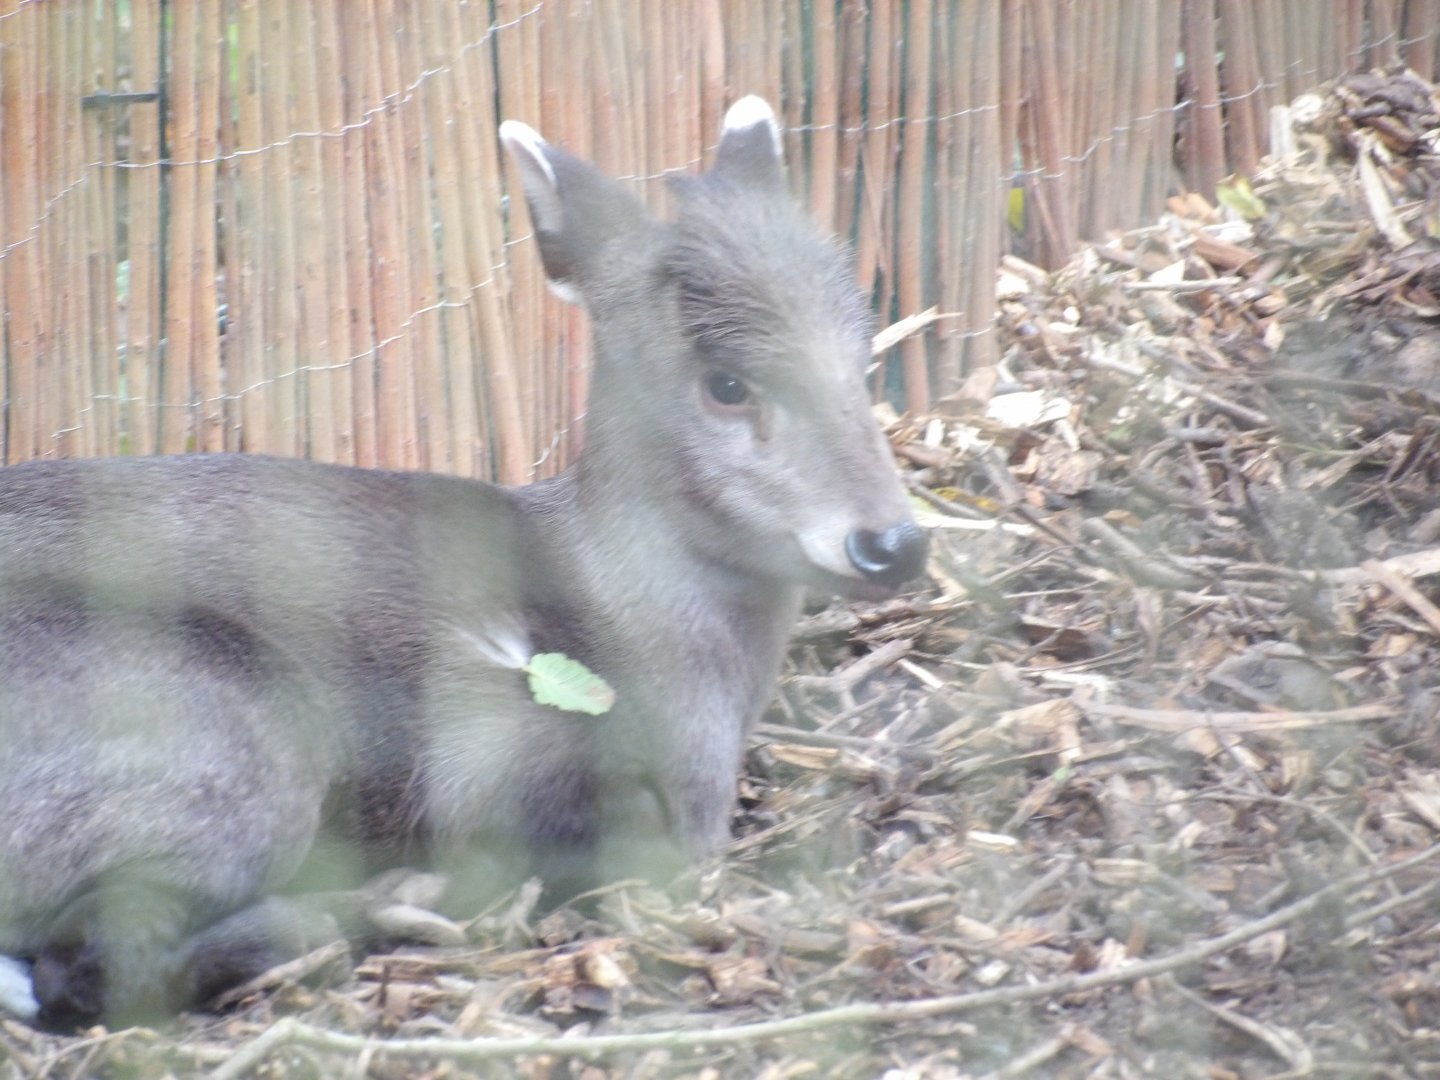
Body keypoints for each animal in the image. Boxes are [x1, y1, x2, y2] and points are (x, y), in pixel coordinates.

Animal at [0, 96, 928, 1029]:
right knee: (89, 964)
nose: (893, 541)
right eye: (726, 382)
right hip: (225, 731)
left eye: (864, 351)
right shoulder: (486, 757)